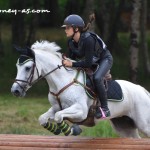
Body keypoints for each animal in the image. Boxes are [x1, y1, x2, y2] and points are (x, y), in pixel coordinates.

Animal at [11, 40, 150, 138]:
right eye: (17, 66)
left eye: (28, 68)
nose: (15, 91)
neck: (61, 81)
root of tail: (143, 91)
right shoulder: (56, 107)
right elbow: (44, 118)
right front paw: (56, 129)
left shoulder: (81, 111)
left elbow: (58, 116)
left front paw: (72, 130)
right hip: (124, 126)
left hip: (144, 124)